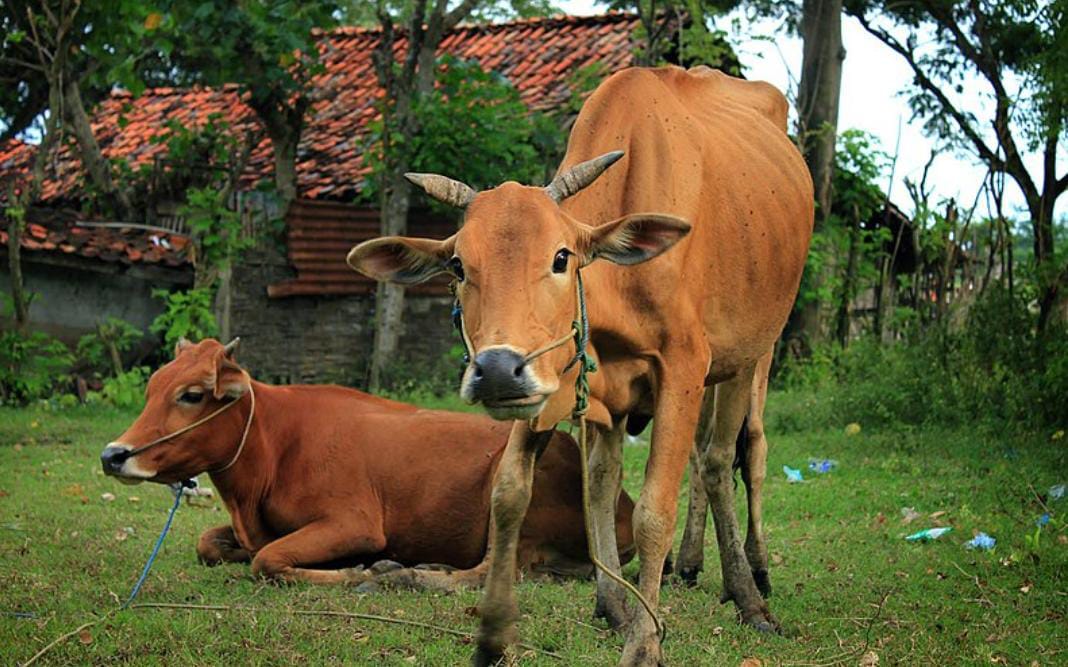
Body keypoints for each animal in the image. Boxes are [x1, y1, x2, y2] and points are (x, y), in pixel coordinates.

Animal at [100, 335, 632, 584]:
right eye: (151, 388)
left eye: (191, 395)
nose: (113, 455)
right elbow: (209, 544)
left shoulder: (354, 523)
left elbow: (268, 559)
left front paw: (356, 570)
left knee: (489, 571)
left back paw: (405, 574)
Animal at [346, 65, 811, 661]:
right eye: (457, 265)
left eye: (561, 257)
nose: (497, 370)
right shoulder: (552, 380)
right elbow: (512, 495)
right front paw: (495, 635)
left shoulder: (684, 367)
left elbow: (654, 512)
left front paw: (645, 644)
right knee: (615, 476)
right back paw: (643, 589)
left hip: (752, 356)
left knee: (729, 457)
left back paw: (750, 587)